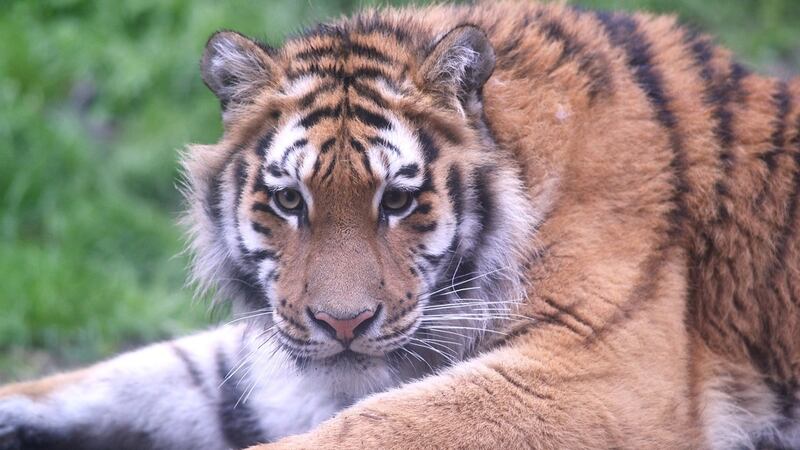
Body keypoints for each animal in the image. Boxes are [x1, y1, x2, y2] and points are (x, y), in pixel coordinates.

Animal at [1, 1, 800, 448]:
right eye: (289, 201)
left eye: (397, 200)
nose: (343, 324)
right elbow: (142, 372)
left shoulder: (592, 369)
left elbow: (371, 427)